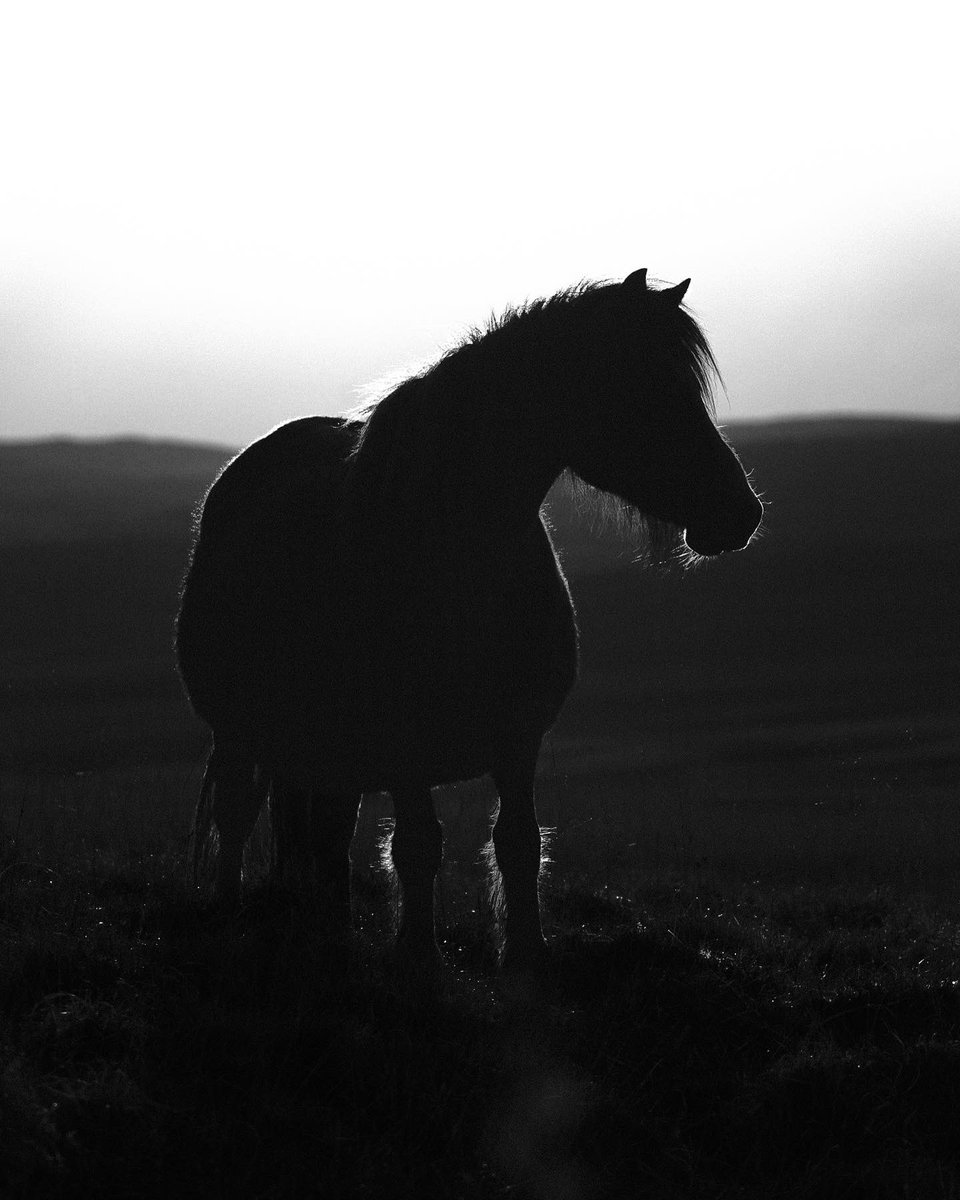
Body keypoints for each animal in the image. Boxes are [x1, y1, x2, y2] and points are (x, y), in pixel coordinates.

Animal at [175, 268, 763, 972]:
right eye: (643, 387)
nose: (740, 512)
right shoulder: (402, 746)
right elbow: (417, 847)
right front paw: (418, 957)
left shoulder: (518, 737)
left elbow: (517, 842)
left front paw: (527, 951)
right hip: (240, 731)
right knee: (237, 815)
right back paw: (232, 911)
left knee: (326, 835)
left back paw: (332, 930)